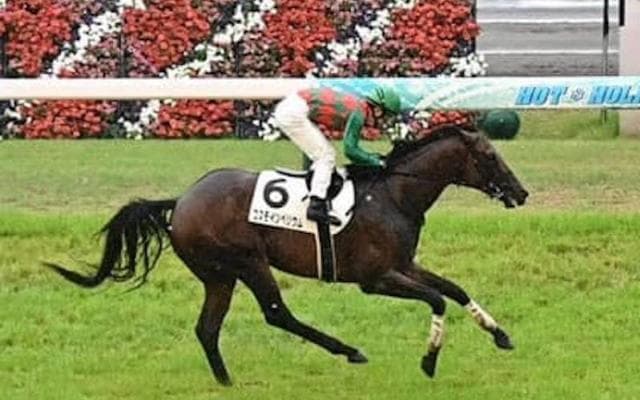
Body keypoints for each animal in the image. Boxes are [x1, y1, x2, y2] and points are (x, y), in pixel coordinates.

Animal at [46, 125, 528, 385]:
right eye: (489, 155)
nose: (521, 193)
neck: (393, 195)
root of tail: (180, 201)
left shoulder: (404, 265)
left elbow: (454, 289)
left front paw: (501, 335)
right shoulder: (375, 279)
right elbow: (437, 299)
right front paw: (429, 361)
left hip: (218, 275)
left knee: (207, 328)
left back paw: (226, 381)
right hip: (247, 261)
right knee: (277, 313)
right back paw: (348, 350)